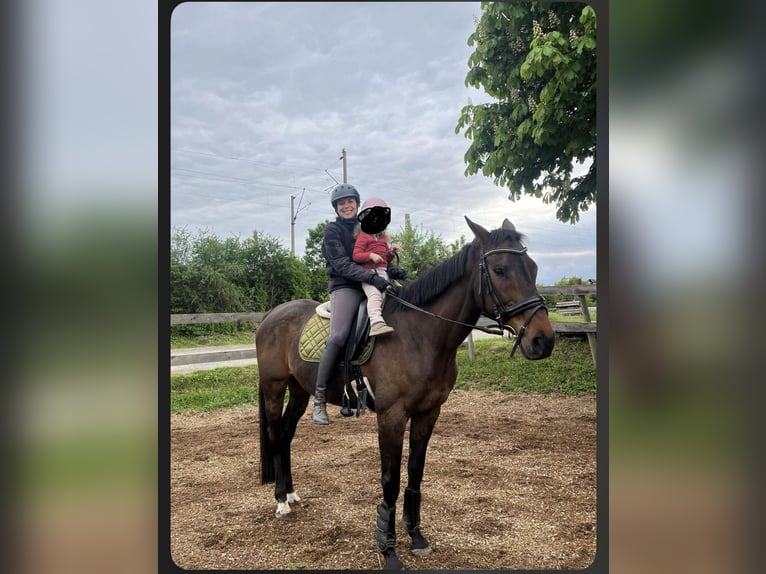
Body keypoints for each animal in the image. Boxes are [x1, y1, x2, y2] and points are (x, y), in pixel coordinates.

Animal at [258, 217, 560, 572]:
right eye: (499, 269)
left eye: (533, 268)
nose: (543, 340)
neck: (420, 335)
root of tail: (271, 315)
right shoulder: (391, 416)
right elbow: (390, 480)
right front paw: (388, 550)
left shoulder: (428, 412)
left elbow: (416, 472)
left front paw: (415, 536)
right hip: (275, 387)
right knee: (276, 435)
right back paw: (281, 502)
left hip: (299, 391)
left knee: (286, 435)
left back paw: (291, 494)